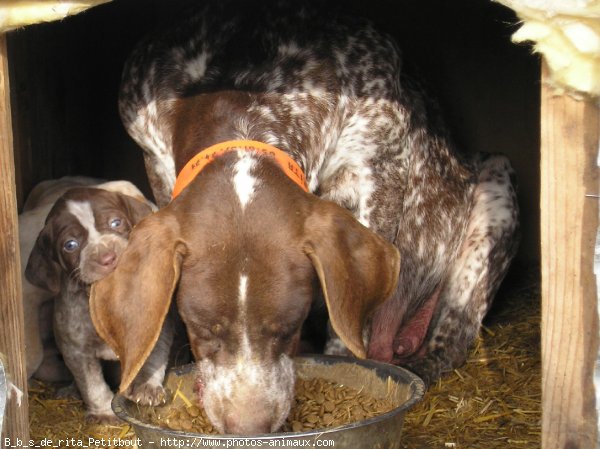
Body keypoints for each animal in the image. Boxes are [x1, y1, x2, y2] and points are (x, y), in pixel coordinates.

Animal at [27, 179, 172, 424]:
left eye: (116, 223)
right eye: (70, 245)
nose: (108, 258)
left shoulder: (156, 327)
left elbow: (151, 357)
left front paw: (146, 387)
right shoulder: (75, 349)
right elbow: (92, 384)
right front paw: (104, 412)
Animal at [91, 0, 516, 434]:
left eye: (287, 329)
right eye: (203, 329)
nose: (249, 428)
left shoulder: (379, 169)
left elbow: (348, 318)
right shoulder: (154, 159)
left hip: (494, 193)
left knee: (452, 341)